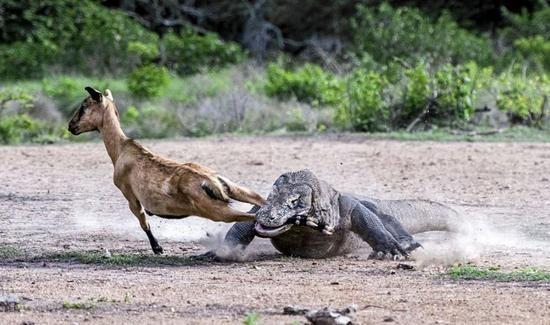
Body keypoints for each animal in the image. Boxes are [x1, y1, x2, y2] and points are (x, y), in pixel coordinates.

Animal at [68, 87, 266, 254]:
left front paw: (157, 248)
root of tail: (210, 181)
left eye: (84, 106)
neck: (121, 149)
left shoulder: (130, 196)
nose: (71, 126)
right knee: (260, 201)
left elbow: (144, 222)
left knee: (255, 217)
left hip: (217, 212)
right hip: (233, 189)